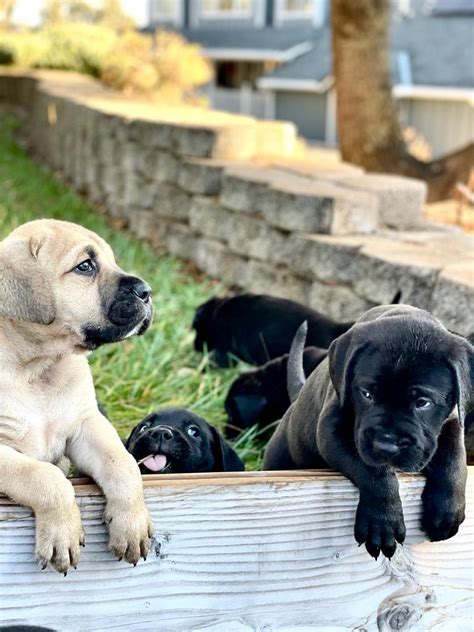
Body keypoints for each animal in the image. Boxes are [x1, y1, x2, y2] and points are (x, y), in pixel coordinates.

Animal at [0, 220, 154, 576]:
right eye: (85, 266)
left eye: (112, 261)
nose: (147, 291)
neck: (38, 367)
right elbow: (45, 476)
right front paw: (62, 533)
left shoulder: (85, 425)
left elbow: (123, 465)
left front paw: (132, 524)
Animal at [264, 304, 472, 556]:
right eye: (366, 394)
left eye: (422, 402)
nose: (386, 445)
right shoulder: (332, 431)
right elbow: (374, 471)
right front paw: (383, 522)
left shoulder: (452, 422)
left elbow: (454, 459)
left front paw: (448, 509)